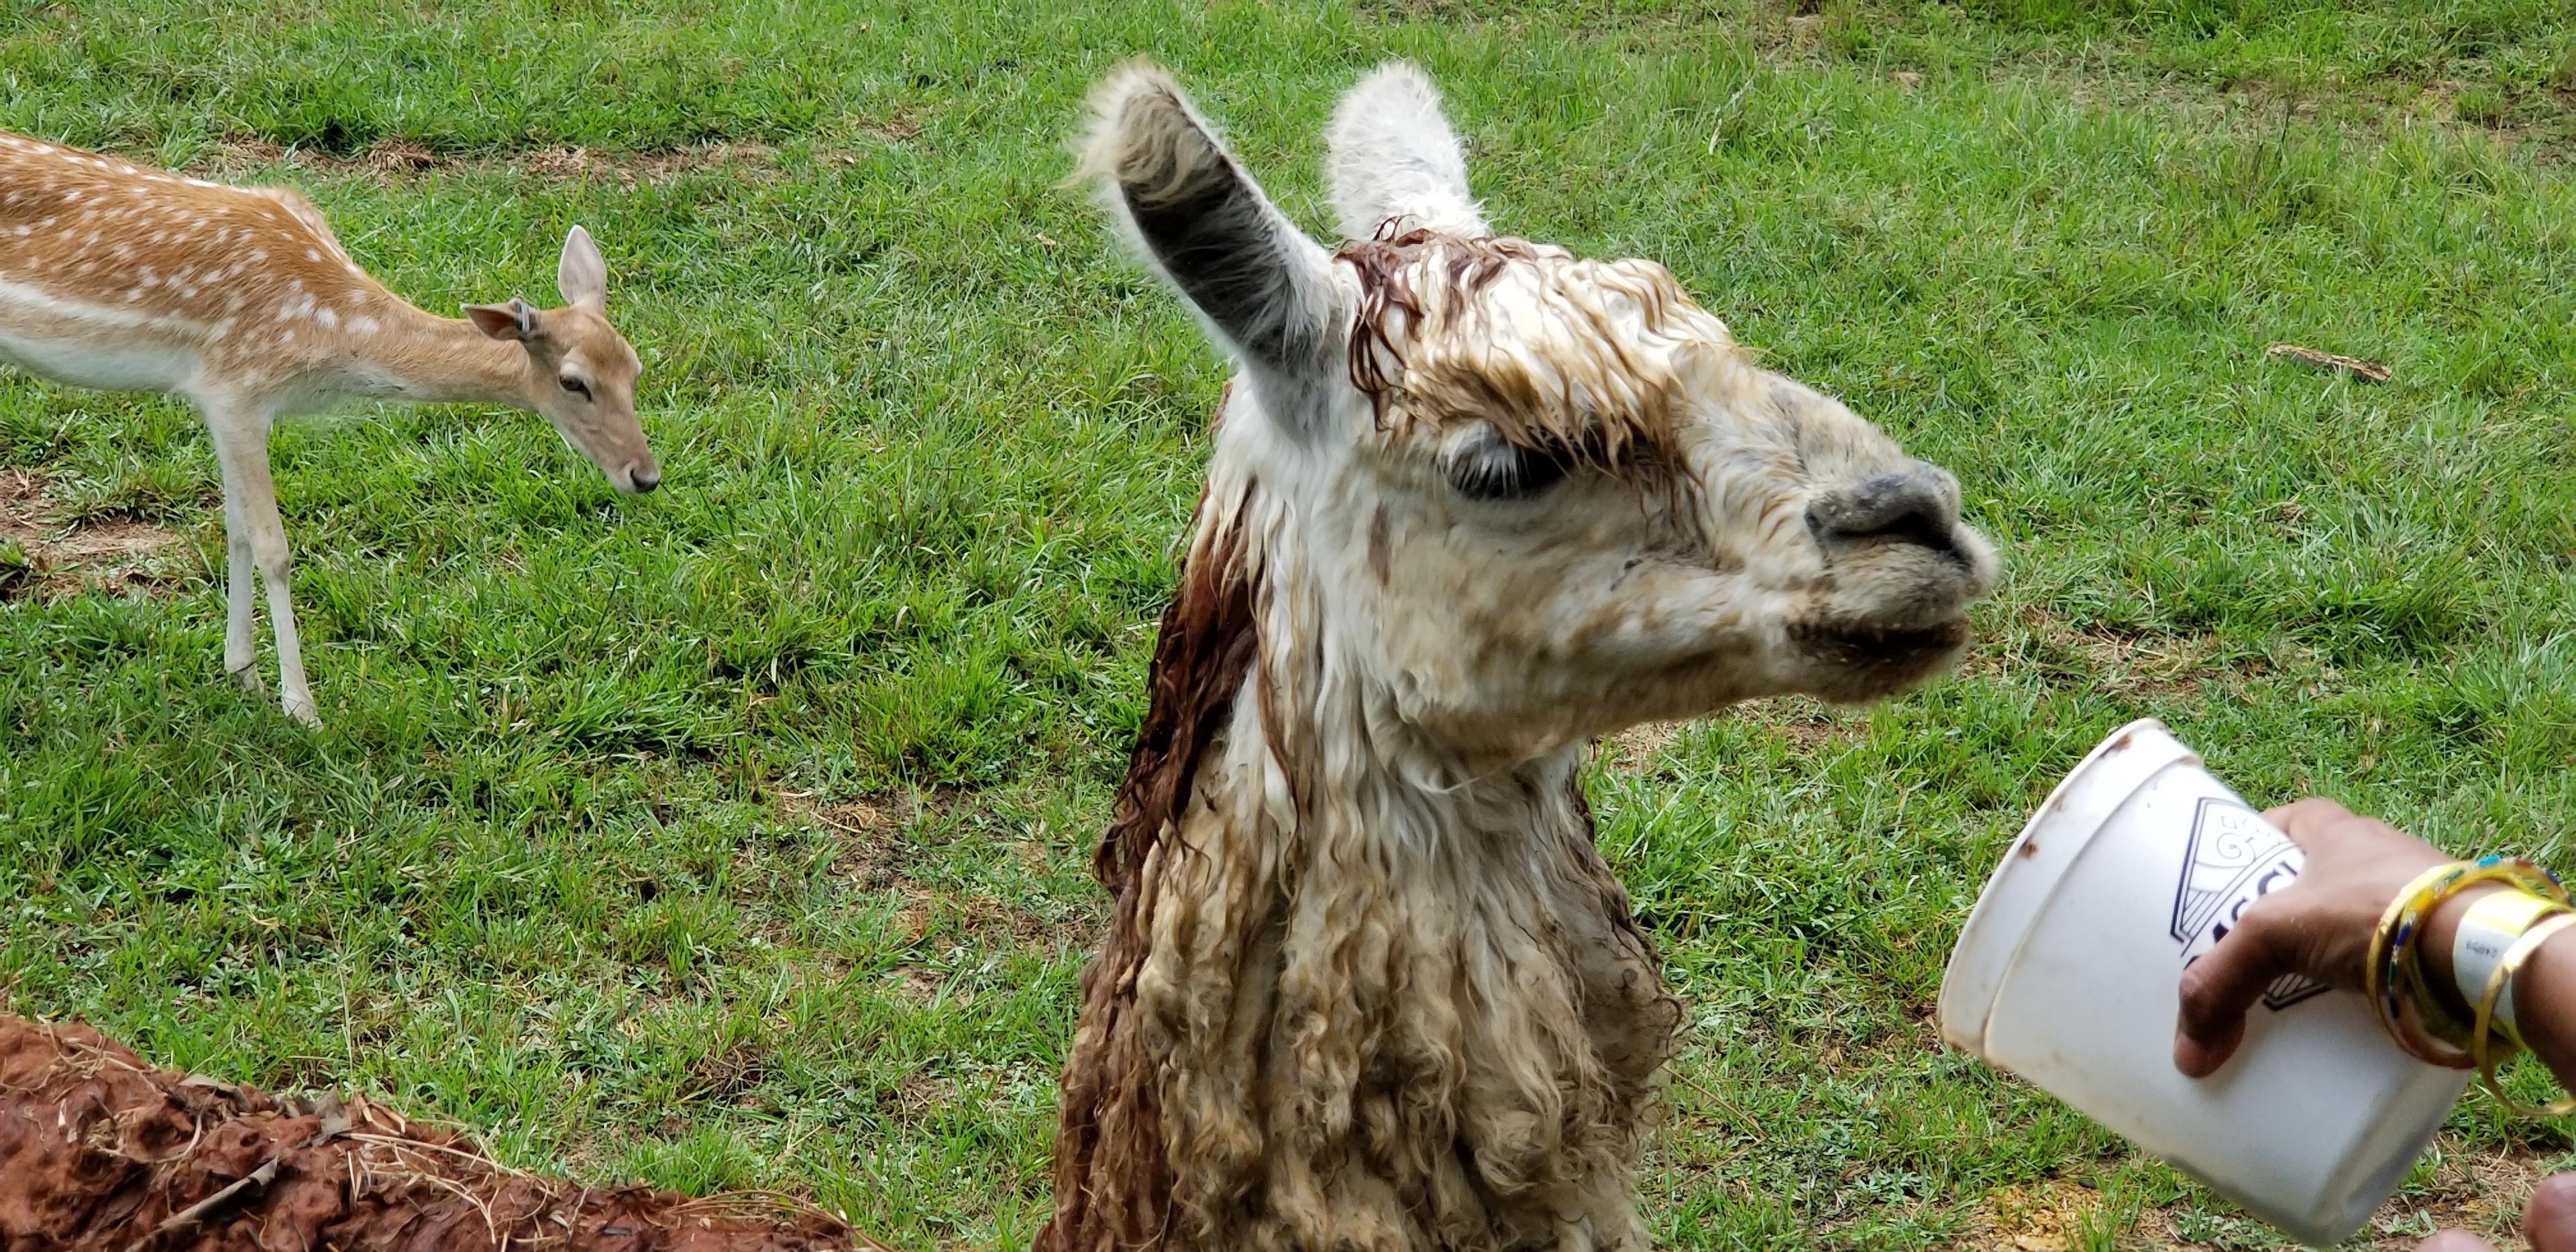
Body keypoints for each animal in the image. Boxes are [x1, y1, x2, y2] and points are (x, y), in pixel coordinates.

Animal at [0, 129, 659, 721]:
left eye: (635, 366)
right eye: (574, 382)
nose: (645, 475)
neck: (335, 334)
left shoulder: (222, 403)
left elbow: (235, 531)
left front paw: (243, 674)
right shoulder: (235, 388)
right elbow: (272, 546)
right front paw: (302, 708)